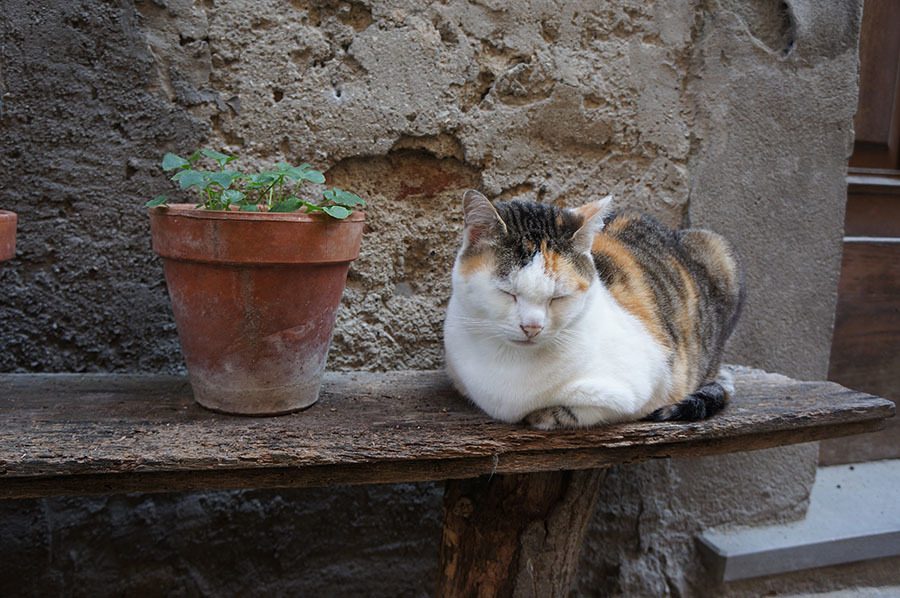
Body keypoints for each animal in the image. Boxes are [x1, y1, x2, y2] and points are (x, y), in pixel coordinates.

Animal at [442, 190, 744, 428]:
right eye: (507, 293)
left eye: (558, 297)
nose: (532, 327)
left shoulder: (641, 387)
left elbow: (574, 411)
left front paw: (543, 415)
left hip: (720, 250)